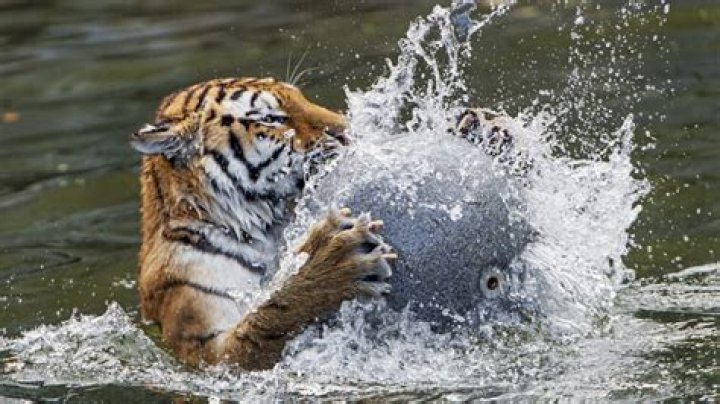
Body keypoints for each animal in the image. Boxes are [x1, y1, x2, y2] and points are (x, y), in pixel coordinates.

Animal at [130, 77, 396, 371]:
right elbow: (271, 316)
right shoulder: (207, 351)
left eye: (302, 98)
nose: (346, 129)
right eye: (271, 119)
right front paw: (337, 259)